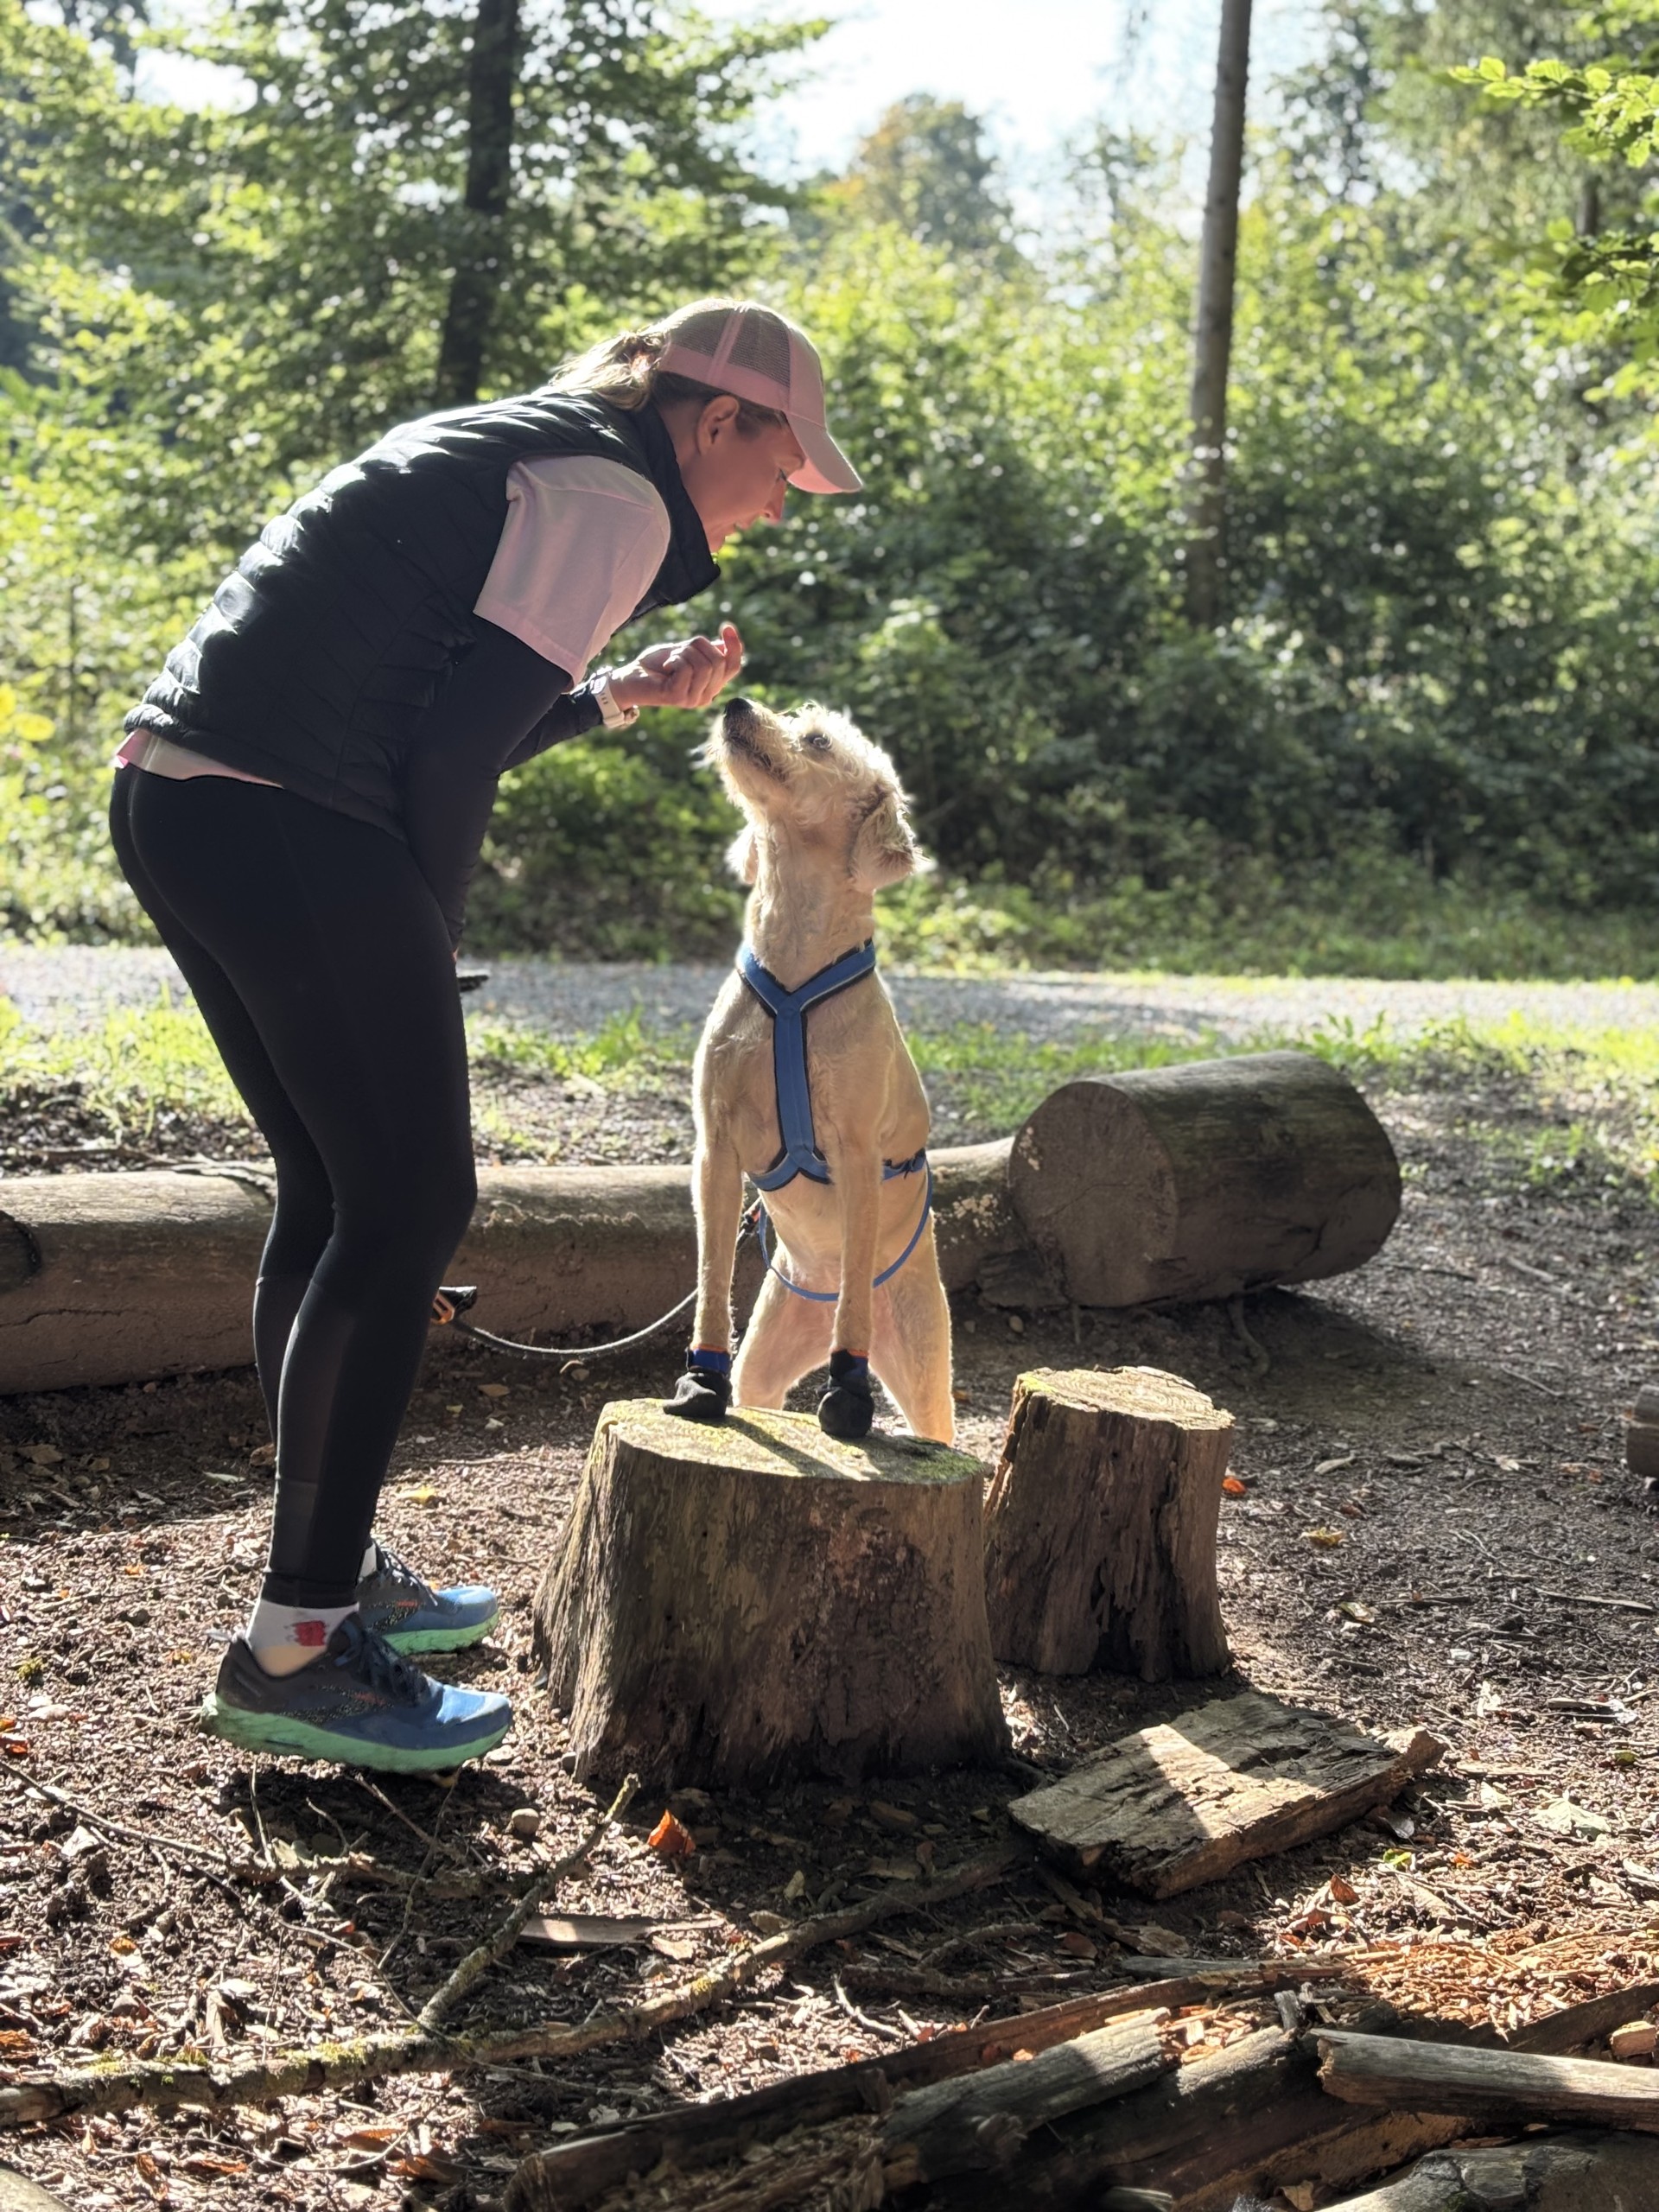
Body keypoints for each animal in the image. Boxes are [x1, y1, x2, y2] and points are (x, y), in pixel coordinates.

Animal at [661, 695, 953, 1444]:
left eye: (818, 739)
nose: (735, 702)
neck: (793, 961)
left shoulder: (857, 1157)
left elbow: (854, 1298)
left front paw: (848, 1391)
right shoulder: (716, 1150)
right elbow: (711, 1275)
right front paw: (702, 1379)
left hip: (926, 1371)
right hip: (769, 1358)